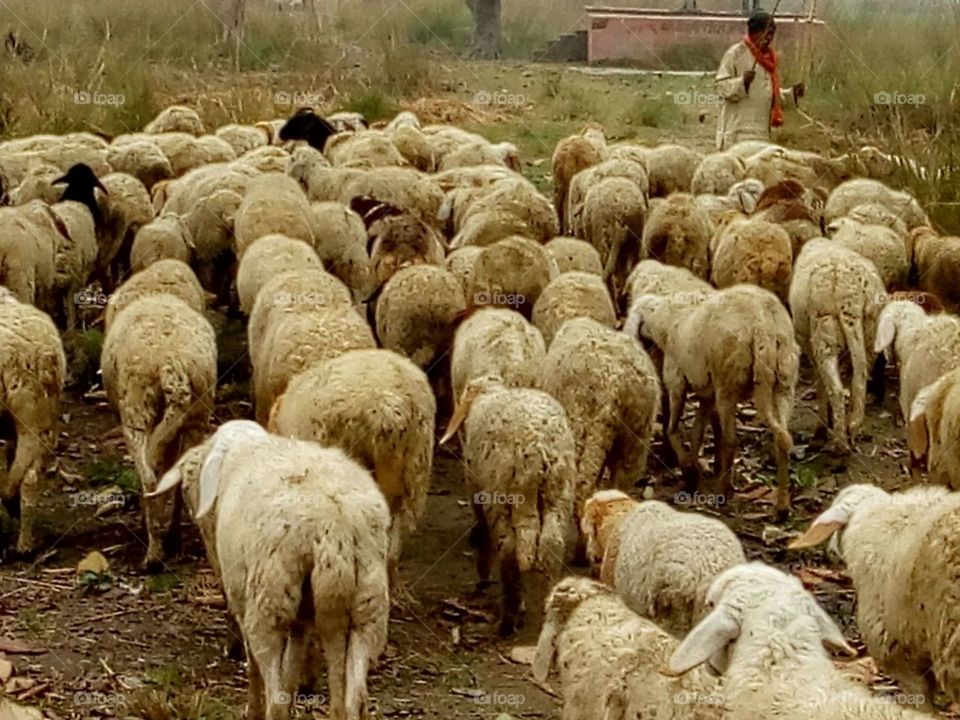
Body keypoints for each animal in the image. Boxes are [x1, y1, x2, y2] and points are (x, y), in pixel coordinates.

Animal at [101, 294, 216, 568]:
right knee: (179, 475)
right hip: (197, 415)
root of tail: (171, 364)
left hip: (136, 410)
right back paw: (172, 538)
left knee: (149, 477)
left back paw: (153, 552)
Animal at [148, 423, 389, 720]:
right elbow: (292, 665)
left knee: (274, 696)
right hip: (369, 603)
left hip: (269, 600)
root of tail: (333, 529)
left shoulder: (241, 600)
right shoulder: (301, 618)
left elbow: (253, 664)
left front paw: (252, 708)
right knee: (356, 698)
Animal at [440, 375, 576, 635]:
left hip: (500, 492)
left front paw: (483, 576)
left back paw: (509, 619)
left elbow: (483, 532)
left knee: (510, 548)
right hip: (559, 492)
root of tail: (538, 446)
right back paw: (545, 602)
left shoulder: (476, 489)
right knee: (552, 544)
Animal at [629, 285, 799, 516]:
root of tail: (763, 324)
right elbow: (697, 432)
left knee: (731, 439)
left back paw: (721, 493)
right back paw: (782, 506)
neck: (664, 320)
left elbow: (673, 429)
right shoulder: (706, 393)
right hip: (784, 381)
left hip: (727, 382)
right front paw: (692, 472)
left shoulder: (677, 380)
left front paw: (689, 471)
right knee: (783, 437)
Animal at [789, 239, 885, 451]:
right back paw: (852, 428)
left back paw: (838, 443)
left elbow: (820, 384)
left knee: (836, 389)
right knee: (859, 378)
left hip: (824, 327)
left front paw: (822, 431)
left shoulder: (807, 343)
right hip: (870, 330)